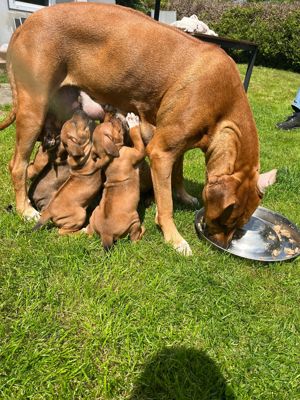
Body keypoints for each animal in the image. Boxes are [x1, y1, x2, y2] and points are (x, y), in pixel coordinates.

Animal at [0, 3, 272, 255]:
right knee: (17, 165)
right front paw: (174, 238)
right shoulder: (161, 152)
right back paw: (26, 209)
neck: (223, 108)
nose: (222, 246)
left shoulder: (179, 144)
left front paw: (183, 195)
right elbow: (166, 204)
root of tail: (24, 24)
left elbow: (178, 173)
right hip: (33, 111)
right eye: (227, 221)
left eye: (239, 225)